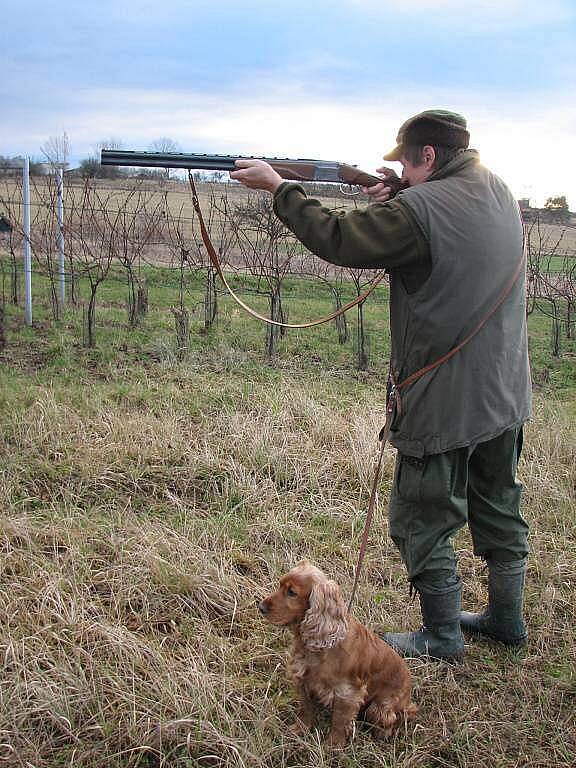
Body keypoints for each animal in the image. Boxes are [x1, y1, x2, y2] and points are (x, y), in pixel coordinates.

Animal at [258, 560, 416, 748]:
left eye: (292, 592)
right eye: (280, 584)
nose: (260, 607)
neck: (319, 646)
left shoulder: (347, 693)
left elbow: (339, 721)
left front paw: (333, 746)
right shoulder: (302, 679)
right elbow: (306, 708)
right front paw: (299, 729)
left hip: (381, 707)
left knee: (393, 718)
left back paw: (382, 733)